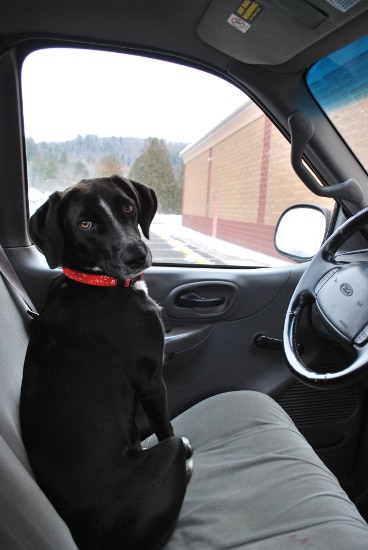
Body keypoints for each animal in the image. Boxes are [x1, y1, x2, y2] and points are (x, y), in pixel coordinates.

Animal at [20, 177, 193, 550]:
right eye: (85, 223)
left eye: (127, 206)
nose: (136, 256)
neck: (94, 282)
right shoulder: (152, 381)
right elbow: (165, 425)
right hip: (168, 454)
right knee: (177, 443)